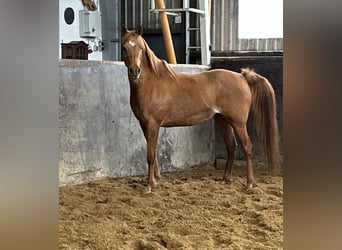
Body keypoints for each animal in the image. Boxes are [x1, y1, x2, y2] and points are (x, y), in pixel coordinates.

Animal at [121, 25, 280, 192]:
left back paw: (249, 183)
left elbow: (150, 155)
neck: (152, 84)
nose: (135, 71)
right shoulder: (144, 125)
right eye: (124, 47)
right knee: (231, 146)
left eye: (140, 48)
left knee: (247, 148)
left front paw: (149, 186)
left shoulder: (153, 125)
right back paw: (225, 179)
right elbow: (153, 153)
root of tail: (242, 77)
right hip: (223, 121)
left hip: (238, 123)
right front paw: (155, 180)